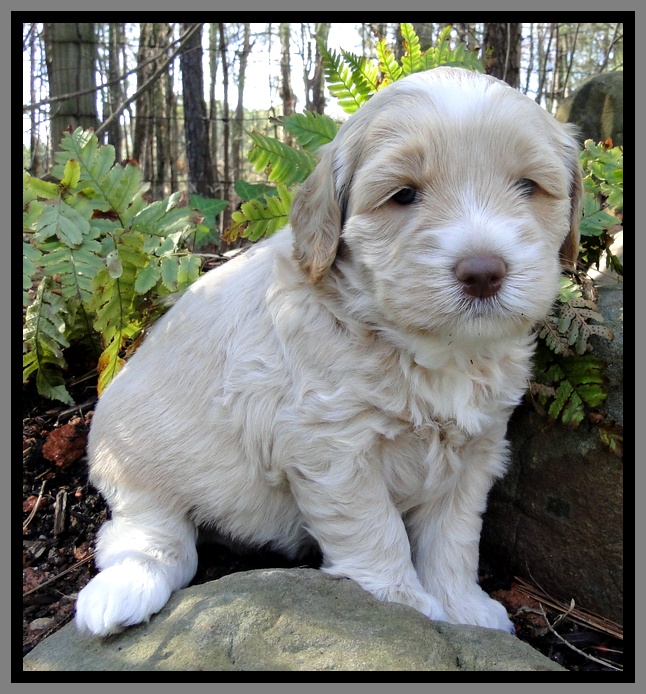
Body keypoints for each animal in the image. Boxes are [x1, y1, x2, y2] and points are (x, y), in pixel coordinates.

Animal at [75, 67, 582, 636]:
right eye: (403, 195)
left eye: (528, 187)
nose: (483, 272)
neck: (429, 349)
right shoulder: (333, 447)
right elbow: (375, 529)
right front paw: (404, 605)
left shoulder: (475, 451)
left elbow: (453, 536)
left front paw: (463, 608)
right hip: (137, 466)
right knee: (147, 536)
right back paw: (125, 588)